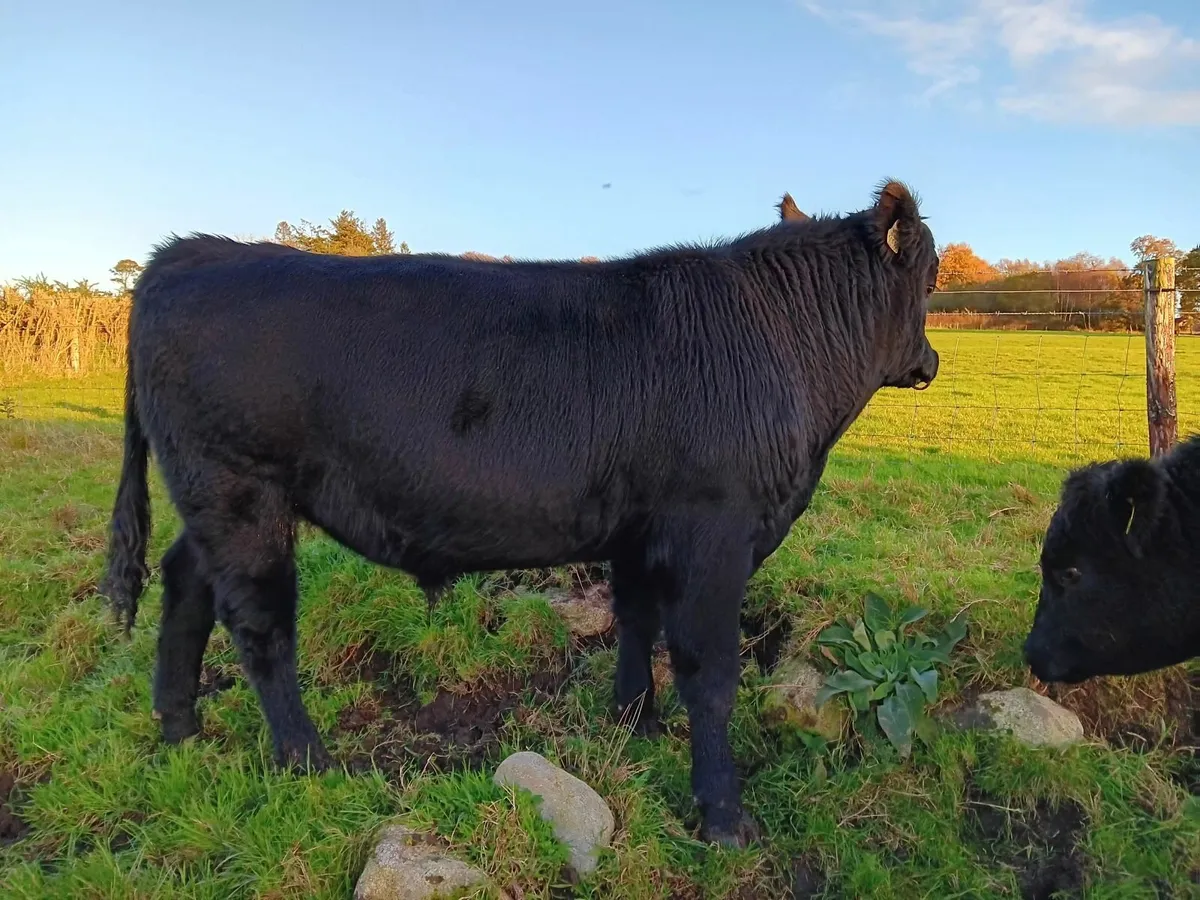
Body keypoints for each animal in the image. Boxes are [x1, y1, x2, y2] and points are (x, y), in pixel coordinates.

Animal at [99, 180, 940, 848]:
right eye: (932, 279)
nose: (931, 362)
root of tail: (192, 252)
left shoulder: (641, 533)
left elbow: (635, 622)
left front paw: (634, 722)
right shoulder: (714, 534)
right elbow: (710, 674)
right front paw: (724, 820)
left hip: (209, 499)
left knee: (185, 581)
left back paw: (179, 728)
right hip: (240, 491)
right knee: (259, 625)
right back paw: (309, 760)